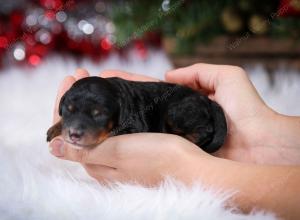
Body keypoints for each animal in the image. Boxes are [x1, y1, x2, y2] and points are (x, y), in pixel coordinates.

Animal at [45, 77, 226, 153]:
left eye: (99, 114)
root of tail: (208, 100)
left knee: (204, 130)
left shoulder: (134, 126)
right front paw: (55, 128)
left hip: (177, 111)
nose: (74, 134)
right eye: (68, 109)